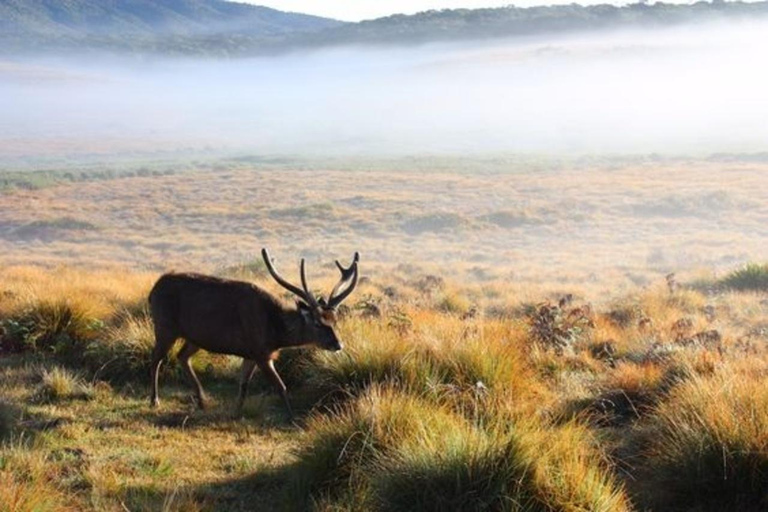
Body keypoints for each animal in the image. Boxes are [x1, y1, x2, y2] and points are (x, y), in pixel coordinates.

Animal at [148, 246, 360, 418]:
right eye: (317, 323)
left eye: (335, 320)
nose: (338, 344)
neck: (275, 333)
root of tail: (153, 290)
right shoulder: (260, 352)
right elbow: (281, 386)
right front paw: (292, 418)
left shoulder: (250, 354)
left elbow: (244, 385)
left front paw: (236, 412)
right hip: (164, 326)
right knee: (156, 358)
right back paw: (154, 400)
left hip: (195, 337)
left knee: (181, 356)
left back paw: (202, 400)